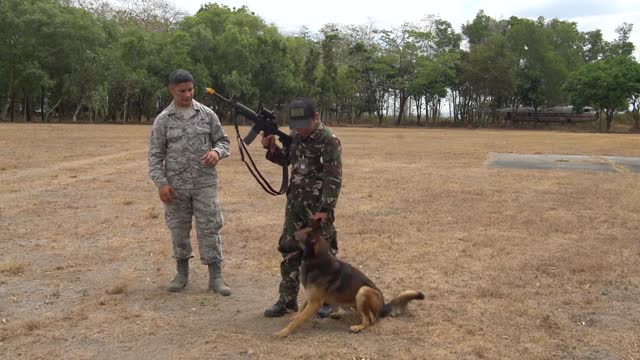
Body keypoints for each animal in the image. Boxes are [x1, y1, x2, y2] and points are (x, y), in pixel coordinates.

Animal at [276, 219, 424, 338]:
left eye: (294, 238)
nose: (278, 247)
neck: (316, 261)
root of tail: (383, 306)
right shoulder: (310, 297)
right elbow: (300, 311)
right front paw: (293, 318)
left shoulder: (315, 302)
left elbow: (299, 318)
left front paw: (284, 332)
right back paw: (338, 314)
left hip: (363, 291)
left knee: (370, 321)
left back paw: (357, 327)